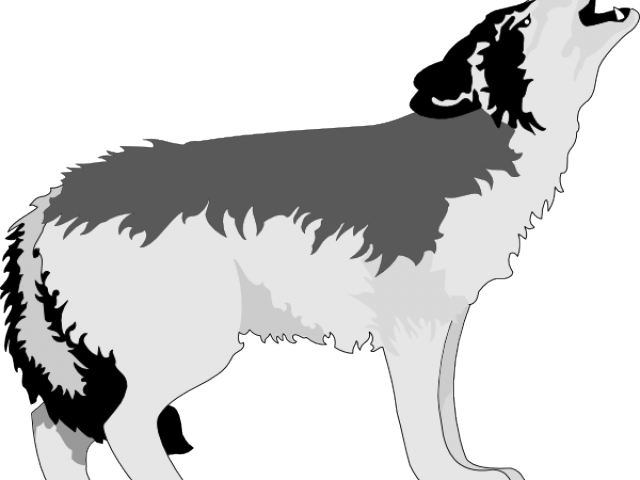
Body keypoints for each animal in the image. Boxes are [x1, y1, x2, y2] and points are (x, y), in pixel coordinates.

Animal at [3, 1, 636, 479]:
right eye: (520, 24)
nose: (594, 2)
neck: (476, 144)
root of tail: (55, 198)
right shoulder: (411, 324)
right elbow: (421, 418)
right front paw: (444, 477)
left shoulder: (446, 319)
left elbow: (445, 409)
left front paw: (468, 471)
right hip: (192, 340)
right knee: (121, 424)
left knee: (55, 426)